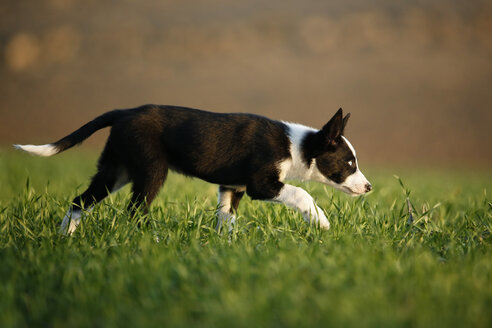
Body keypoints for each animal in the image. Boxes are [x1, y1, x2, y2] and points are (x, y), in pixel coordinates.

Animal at [13, 105, 370, 233]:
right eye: (349, 163)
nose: (369, 188)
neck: (296, 146)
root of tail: (124, 112)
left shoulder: (233, 187)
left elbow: (226, 217)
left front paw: (226, 247)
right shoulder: (261, 184)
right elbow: (301, 193)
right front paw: (321, 221)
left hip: (117, 170)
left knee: (79, 201)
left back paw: (65, 238)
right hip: (151, 170)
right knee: (135, 209)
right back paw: (148, 241)